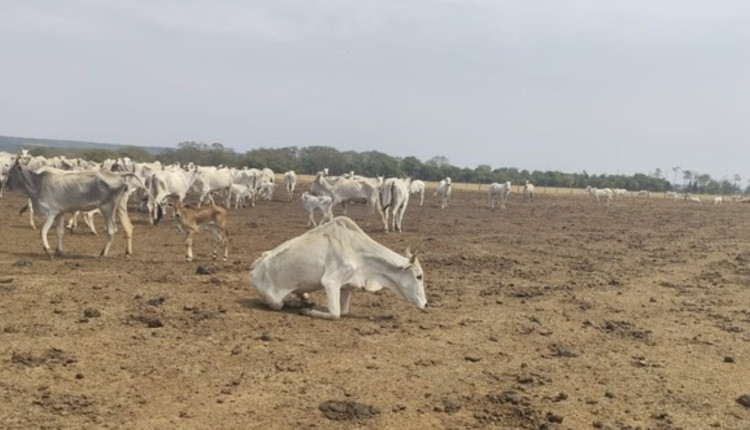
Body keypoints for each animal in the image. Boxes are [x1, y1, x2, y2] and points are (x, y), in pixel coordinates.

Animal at [251, 215, 428, 320]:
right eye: (419, 276)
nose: (426, 304)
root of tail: (254, 268)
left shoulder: (346, 286)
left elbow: (343, 311)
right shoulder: (330, 281)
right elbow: (336, 314)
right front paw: (308, 312)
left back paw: (304, 299)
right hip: (274, 301)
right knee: (278, 303)